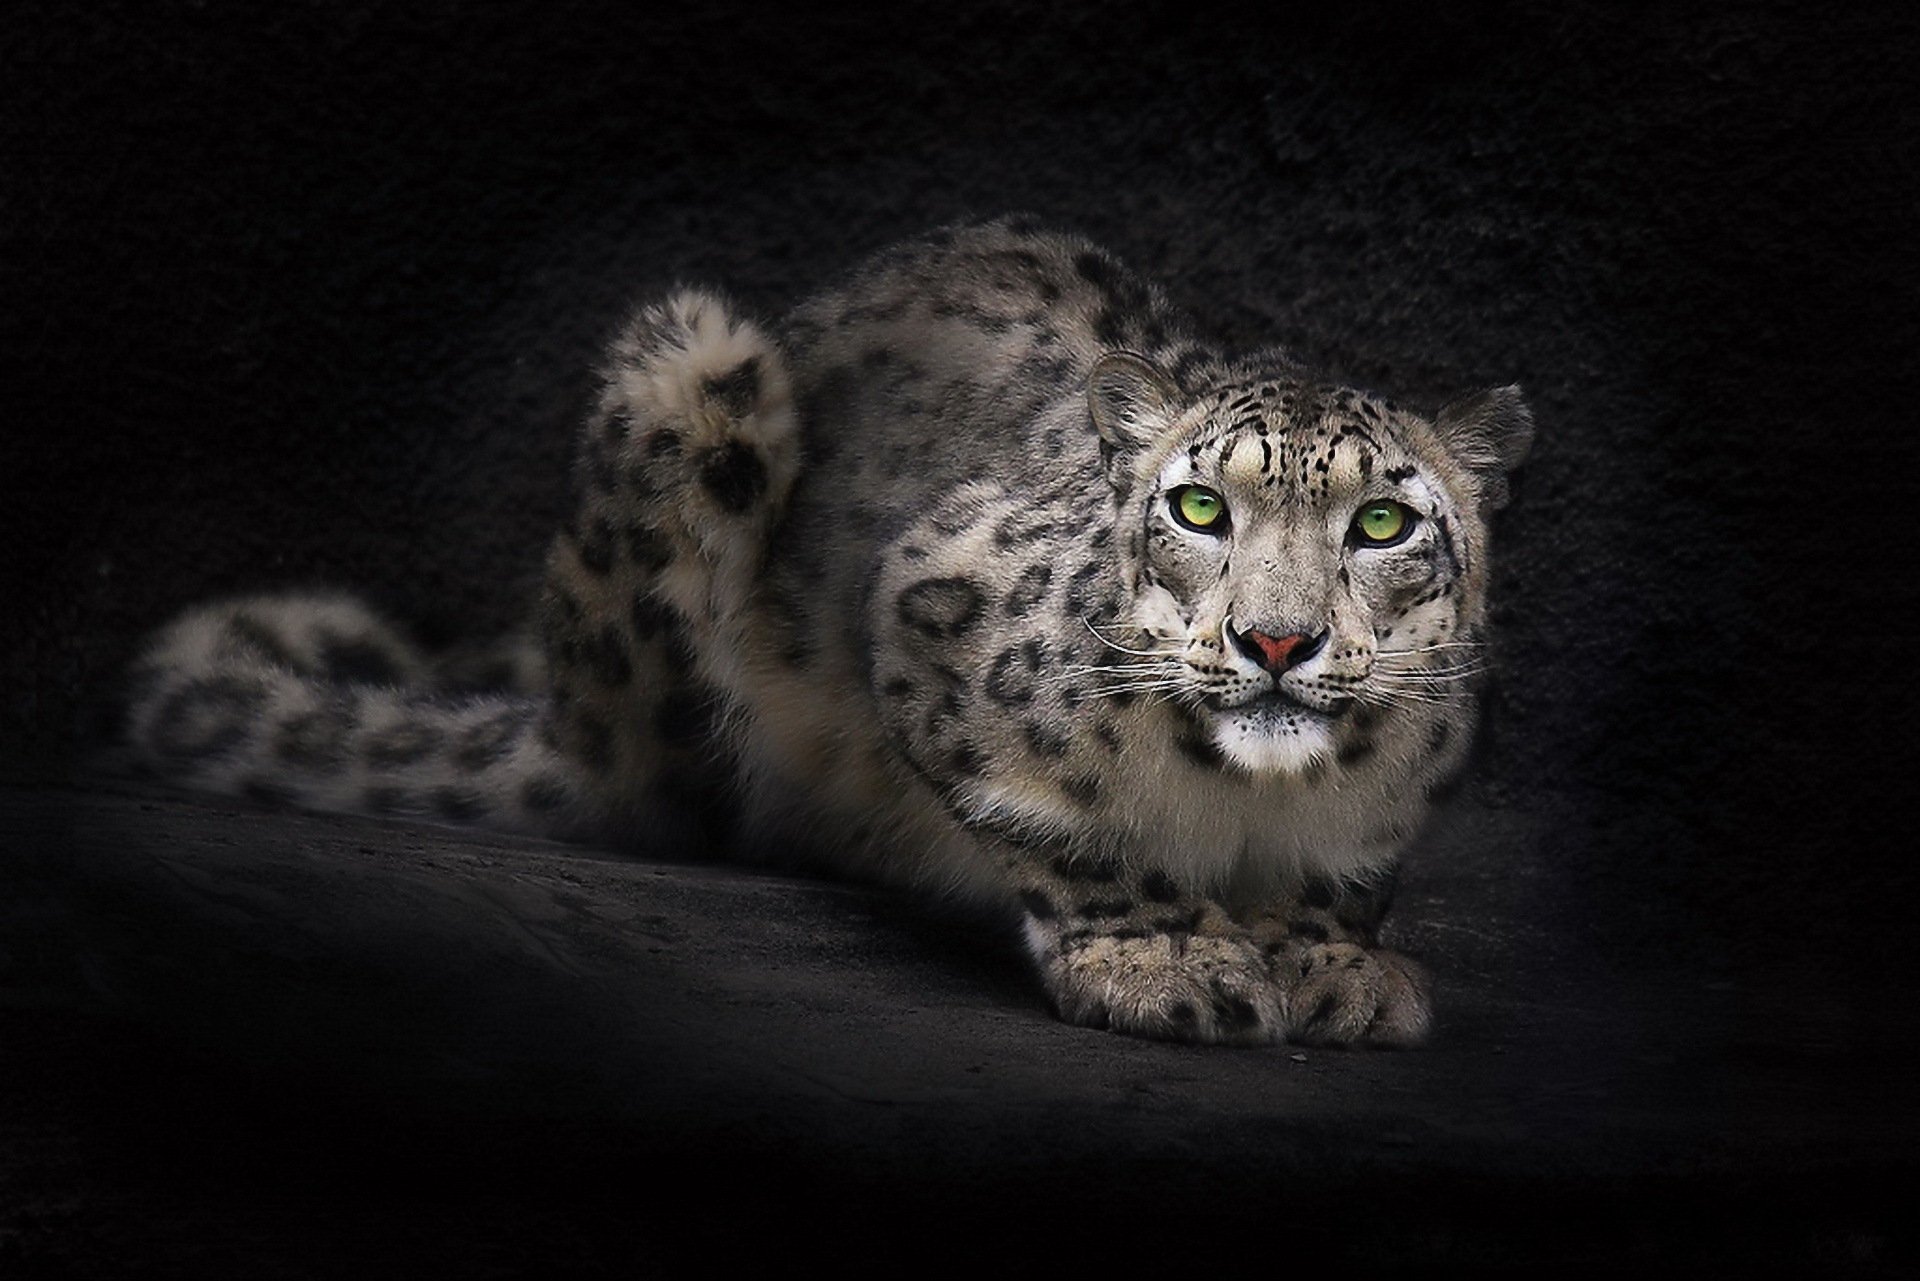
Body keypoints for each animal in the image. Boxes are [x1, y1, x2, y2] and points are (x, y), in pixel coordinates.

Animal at [123, 215, 1528, 1044]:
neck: (1251, 804)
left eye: (1383, 525)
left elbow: (1348, 876)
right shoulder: (928, 608)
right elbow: (1063, 829)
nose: (1275, 643)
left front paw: (1333, 965)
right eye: (1197, 506)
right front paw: (1167, 956)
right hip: (691, 383)